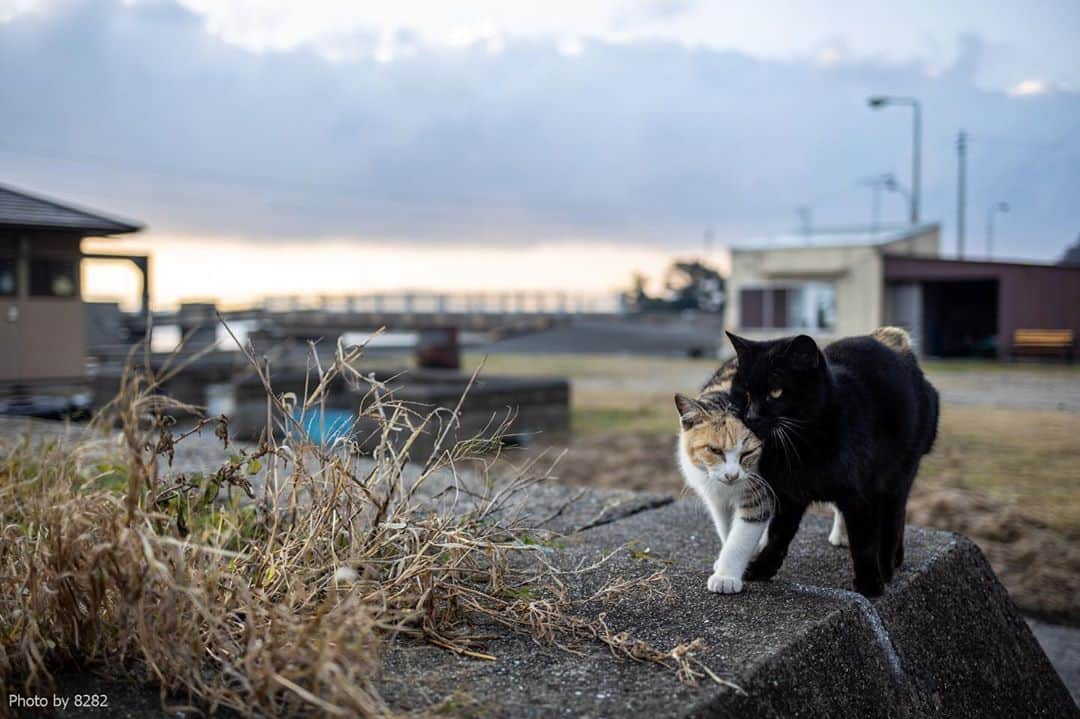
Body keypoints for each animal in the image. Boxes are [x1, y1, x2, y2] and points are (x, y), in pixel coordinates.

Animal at [673, 356, 768, 591]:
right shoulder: (716, 499)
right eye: (714, 450)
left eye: (748, 453)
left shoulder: (760, 491)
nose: (732, 476)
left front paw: (726, 577)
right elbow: (726, 530)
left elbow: (740, 537)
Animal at [725, 323, 946, 591]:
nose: (752, 417)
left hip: (900, 475)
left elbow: (863, 541)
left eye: (775, 393)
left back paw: (888, 564)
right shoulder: (789, 494)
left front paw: (869, 584)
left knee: (894, 517)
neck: (802, 445)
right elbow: (778, 536)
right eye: (745, 393)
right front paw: (762, 568)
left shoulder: (861, 495)